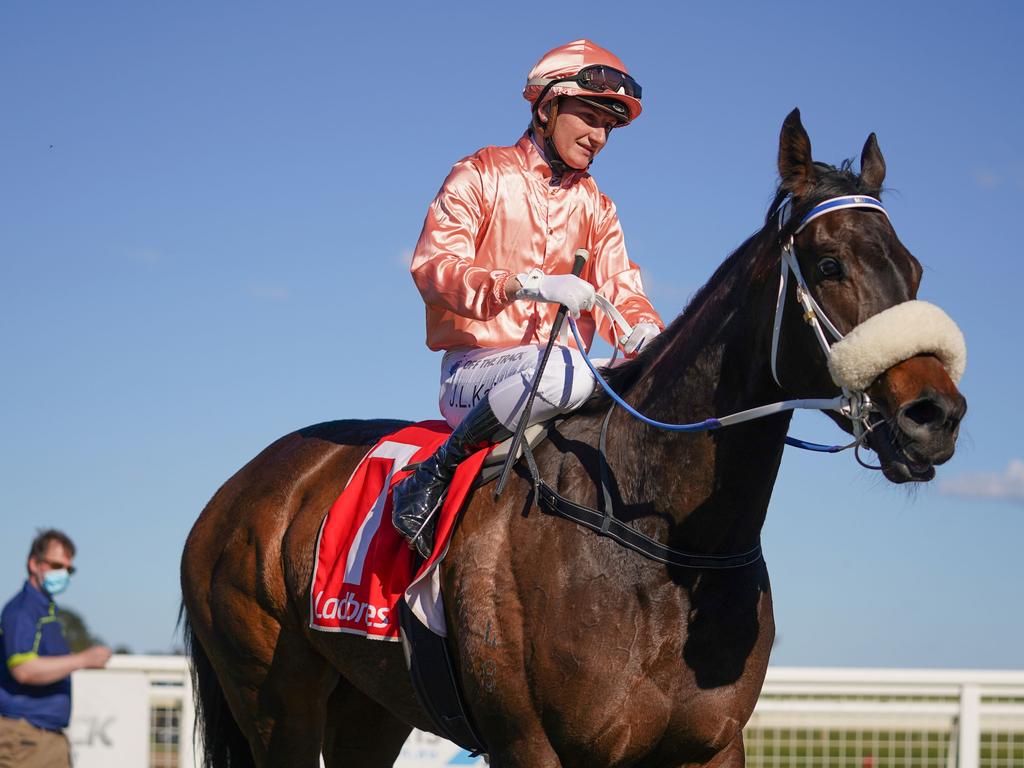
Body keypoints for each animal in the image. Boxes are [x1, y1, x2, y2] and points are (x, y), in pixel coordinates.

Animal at [178, 109, 966, 768]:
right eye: (830, 265)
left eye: (915, 269)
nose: (936, 414)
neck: (659, 543)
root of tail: (238, 488)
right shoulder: (531, 744)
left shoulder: (712, 746)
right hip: (274, 694)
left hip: (369, 703)